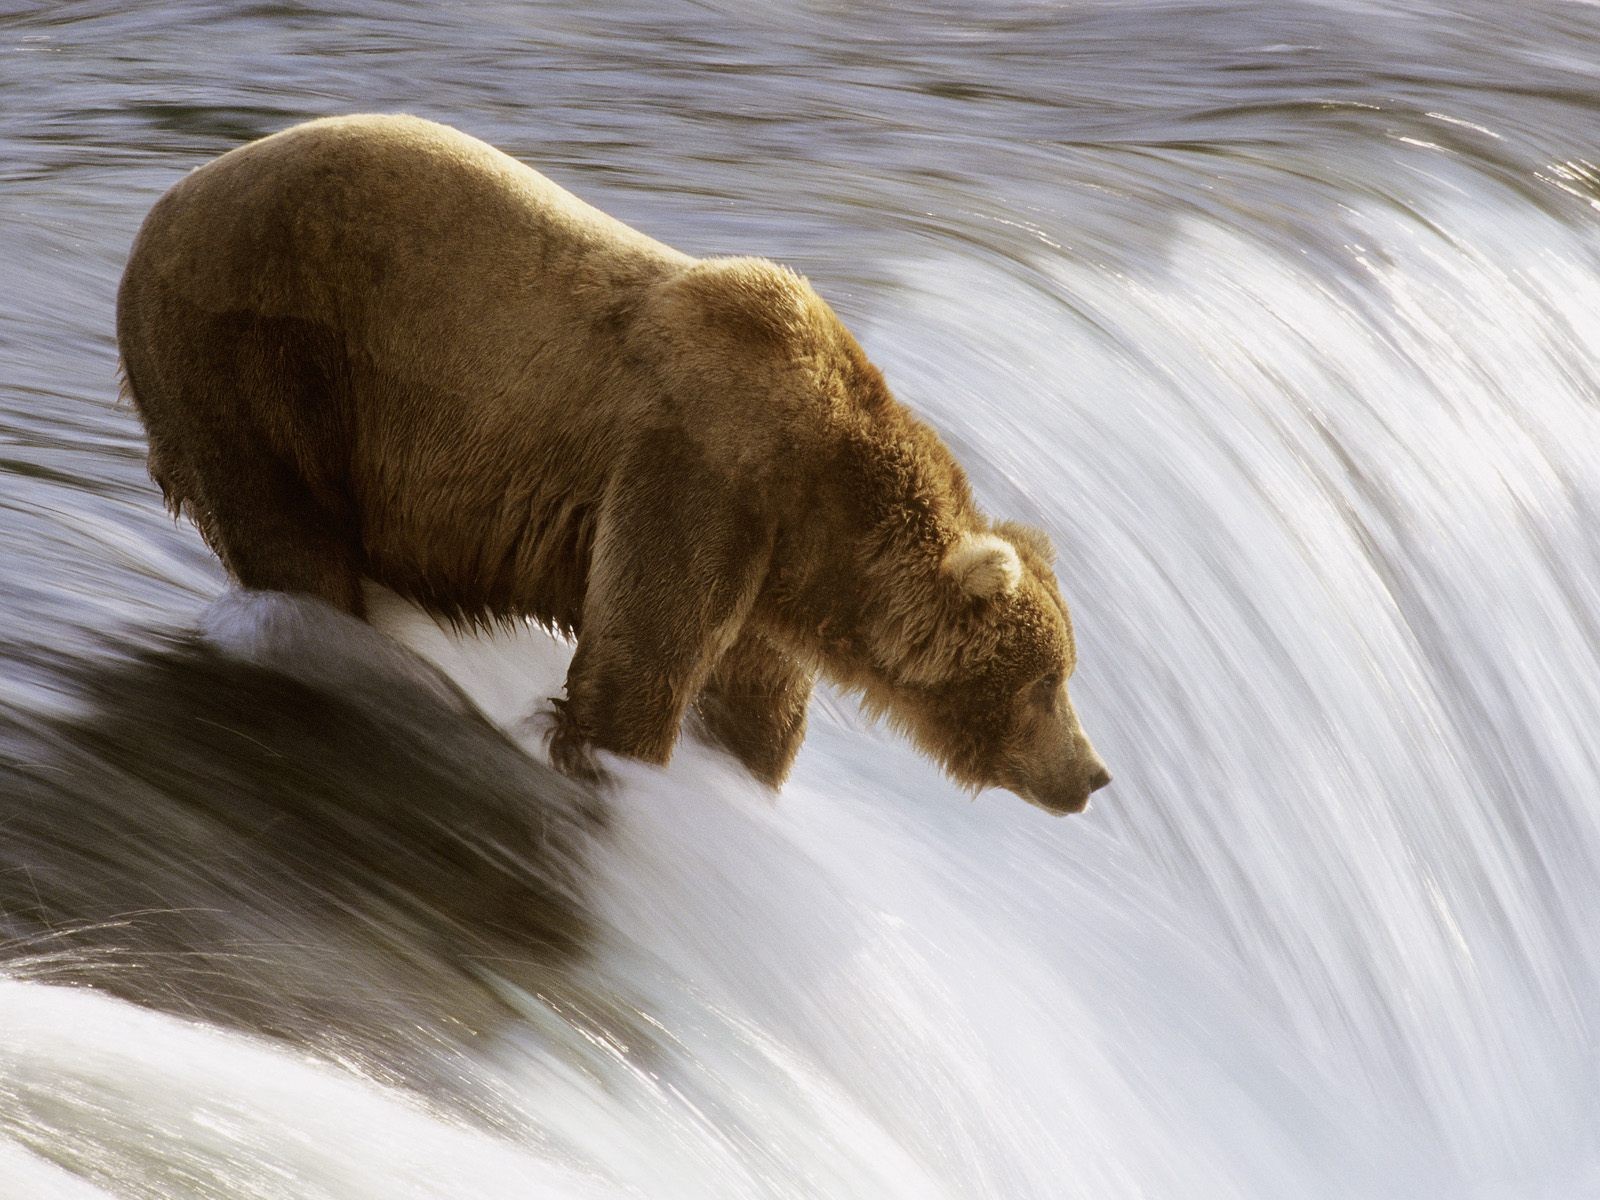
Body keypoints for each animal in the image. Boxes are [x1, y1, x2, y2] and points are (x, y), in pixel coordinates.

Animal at [116, 114, 1112, 813]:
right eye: (1047, 681)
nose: (1094, 773)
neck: (821, 502)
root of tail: (159, 208)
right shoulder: (698, 473)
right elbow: (640, 664)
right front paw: (617, 767)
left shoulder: (767, 569)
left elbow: (755, 706)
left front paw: (741, 775)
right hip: (263, 355)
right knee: (290, 536)